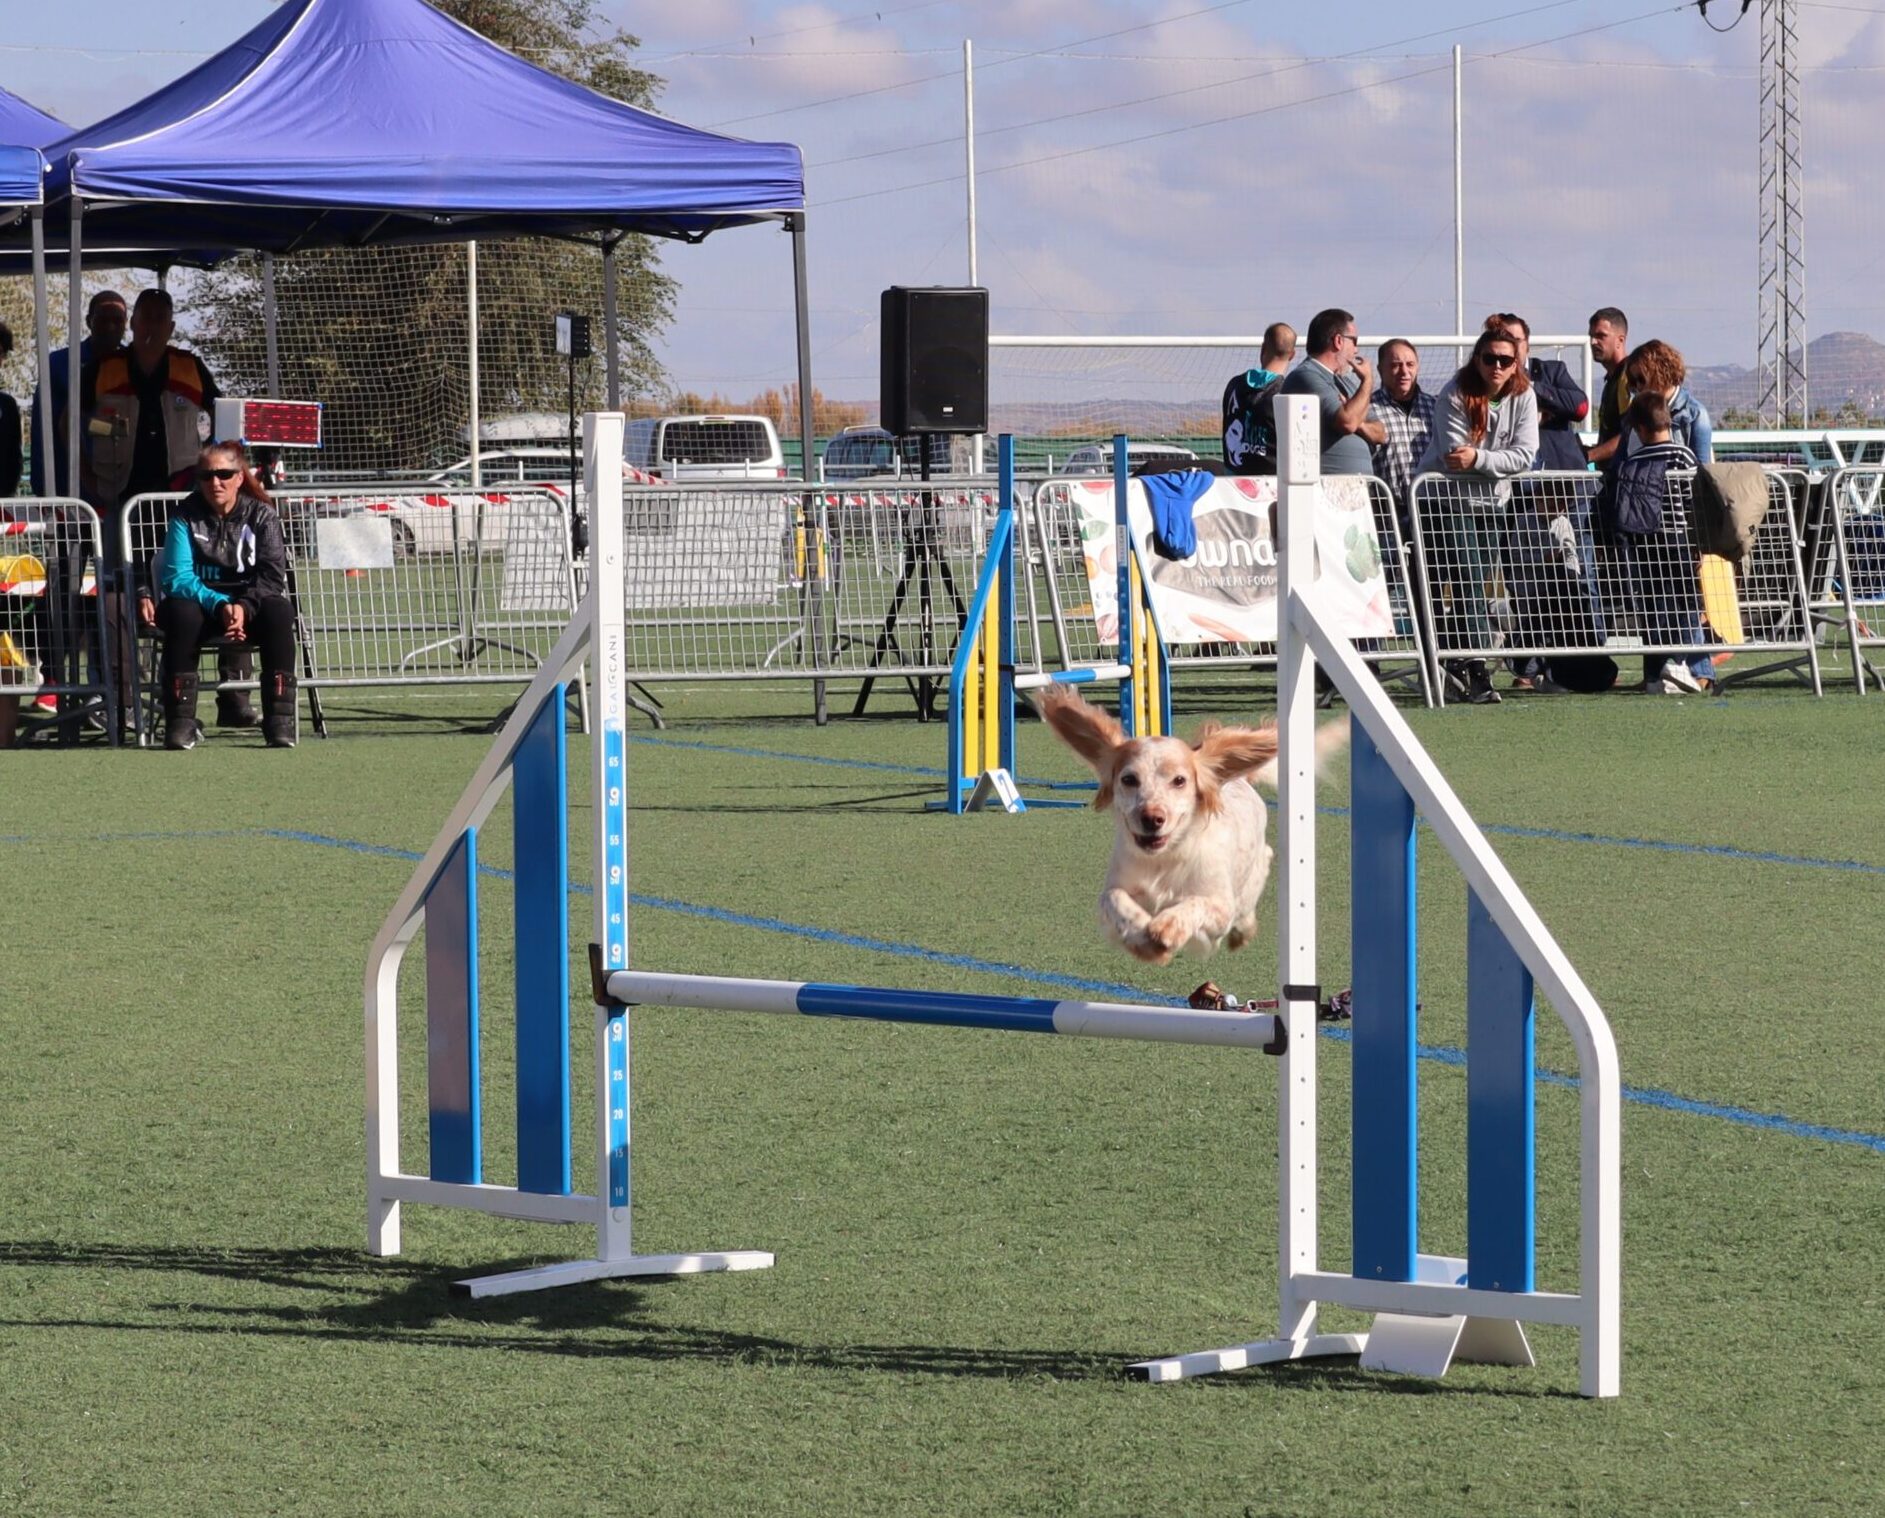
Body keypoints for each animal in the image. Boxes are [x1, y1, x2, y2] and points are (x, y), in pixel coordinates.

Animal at [1040, 682, 1349, 957]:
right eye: (1129, 779)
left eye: (1179, 780)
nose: (1152, 818)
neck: (1165, 859)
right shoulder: (1115, 891)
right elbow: (1113, 899)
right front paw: (1141, 931)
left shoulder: (1220, 908)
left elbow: (1194, 904)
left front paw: (1166, 925)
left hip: (1253, 874)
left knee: (1249, 897)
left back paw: (1243, 931)